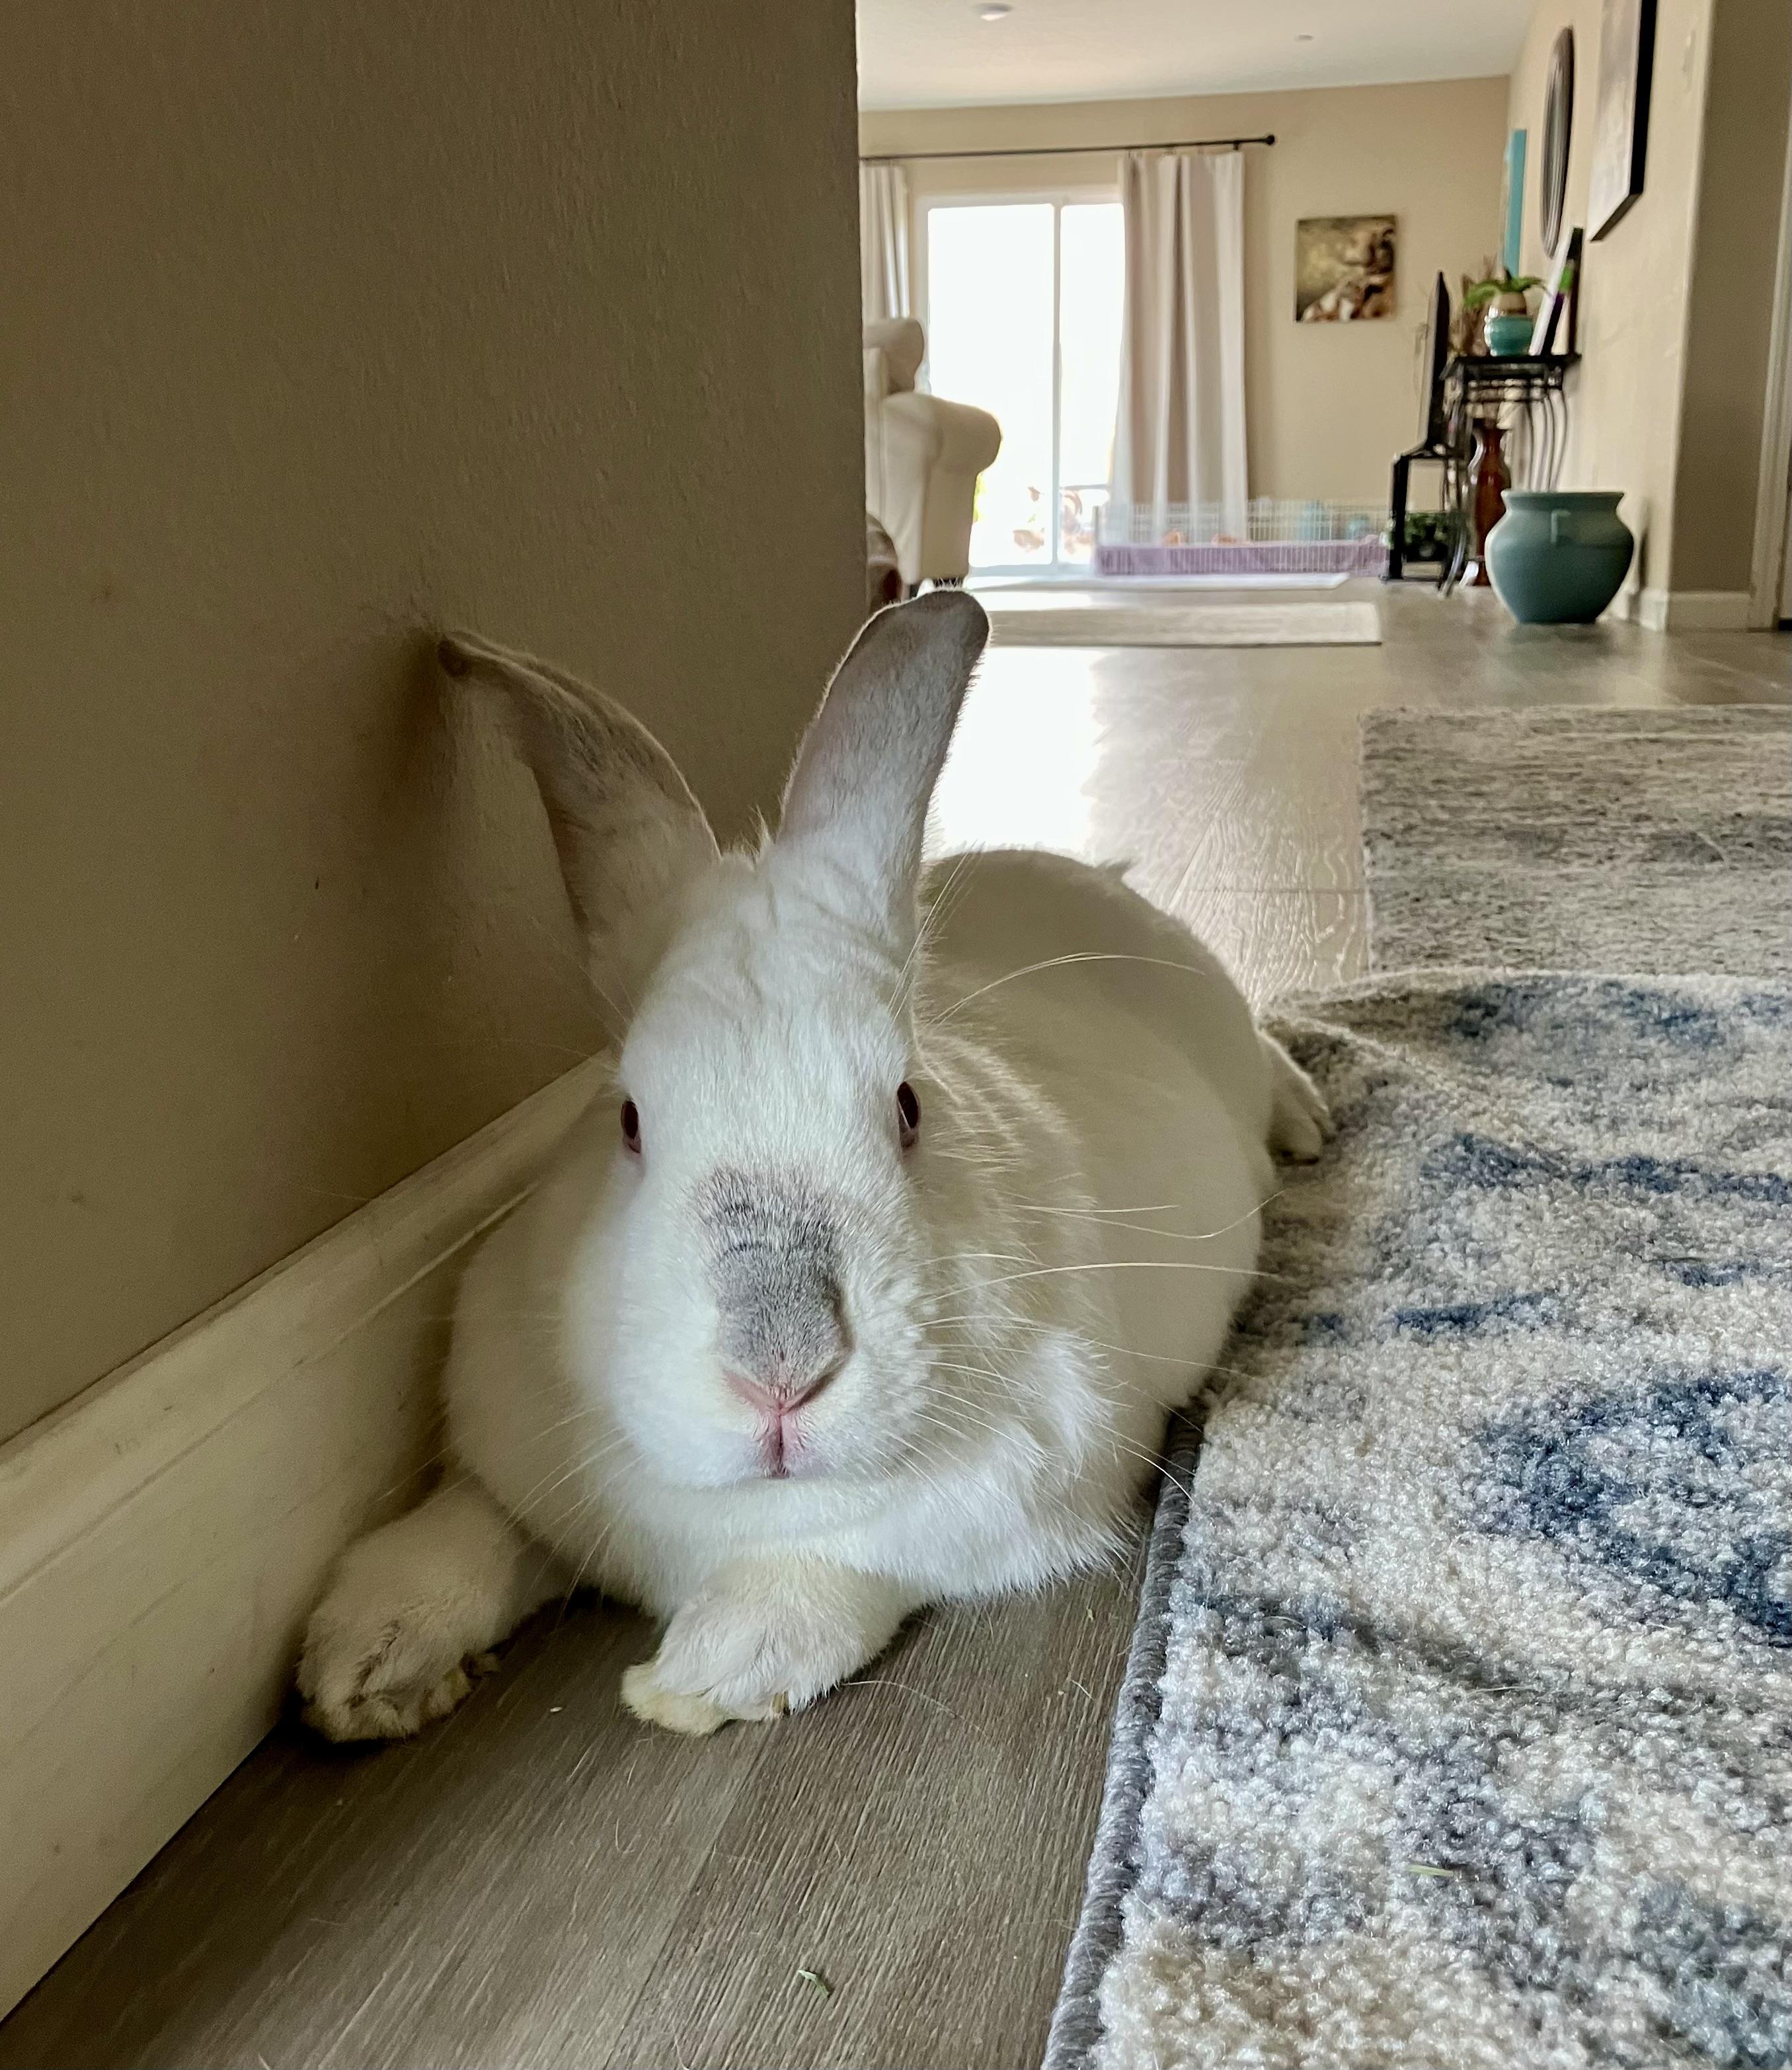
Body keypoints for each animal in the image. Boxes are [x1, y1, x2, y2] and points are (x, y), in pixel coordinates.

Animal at [297, 591, 1329, 1742]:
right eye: (628, 1120)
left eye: (907, 1108)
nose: (780, 1369)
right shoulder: (512, 1446)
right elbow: (473, 1526)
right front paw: (365, 1660)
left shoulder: (999, 1501)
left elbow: (827, 1569)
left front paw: (703, 1676)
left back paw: (1306, 1117)